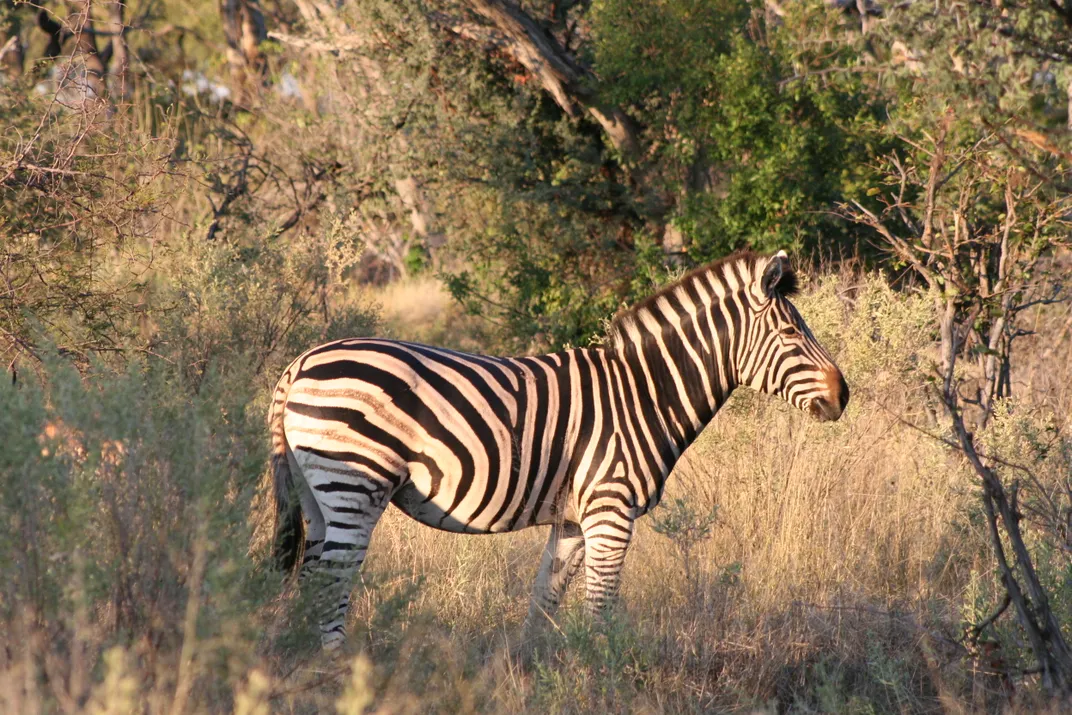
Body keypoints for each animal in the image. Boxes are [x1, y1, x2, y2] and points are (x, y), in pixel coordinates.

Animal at [270, 250, 848, 650]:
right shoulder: (610, 510)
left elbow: (544, 603)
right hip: (353, 483)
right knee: (331, 580)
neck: (644, 394)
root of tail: (300, 362)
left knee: (312, 577)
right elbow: (601, 610)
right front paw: (603, 678)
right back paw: (333, 670)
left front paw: (530, 674)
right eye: (792, 333)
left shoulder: (571, 520)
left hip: (317, 493)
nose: (844, 395)